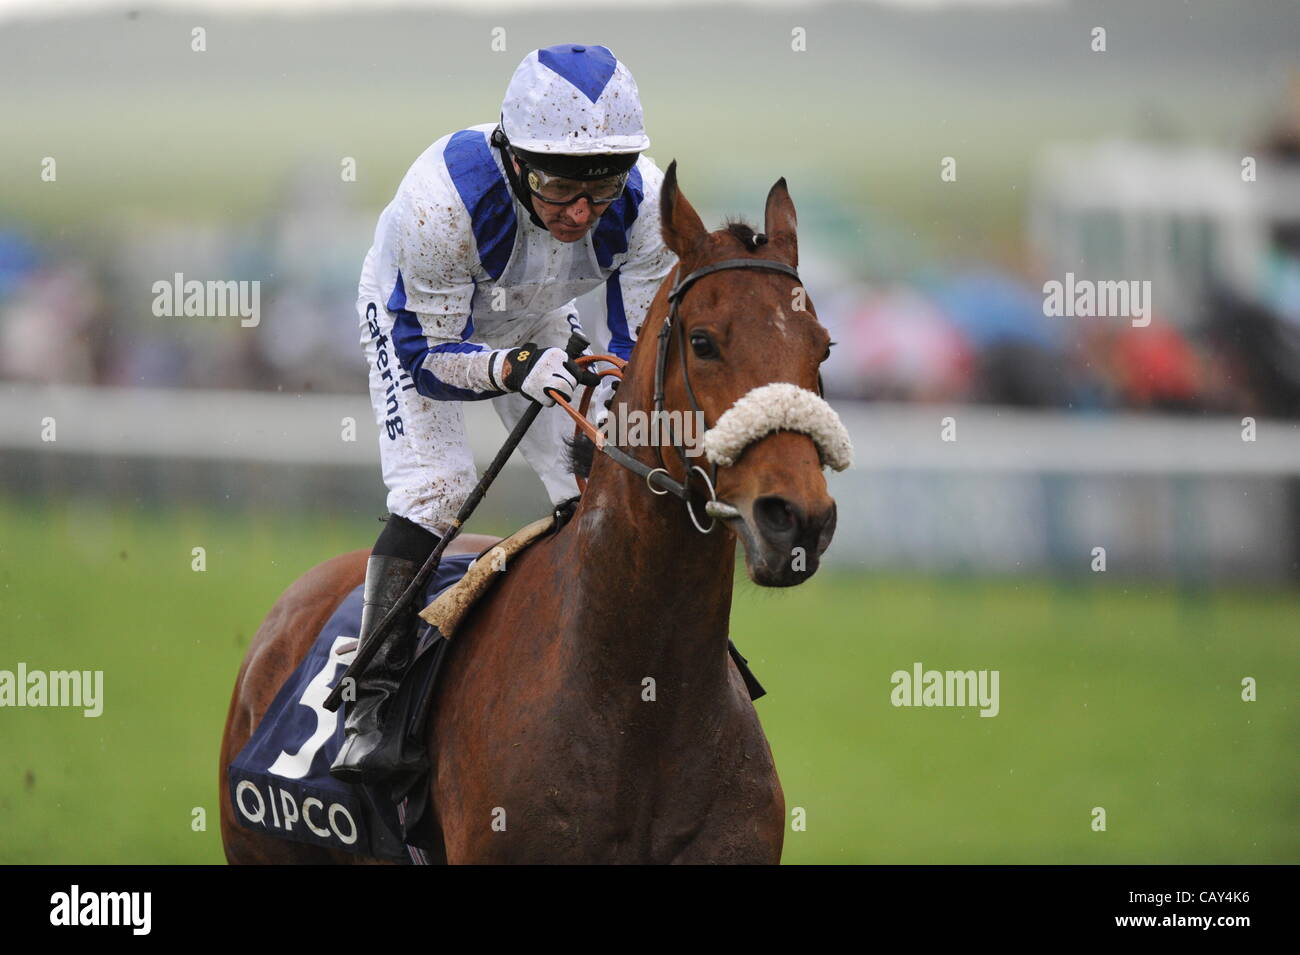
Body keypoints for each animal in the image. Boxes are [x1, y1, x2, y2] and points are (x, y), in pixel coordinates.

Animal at [220, 164, 842, 867]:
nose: (797, 518)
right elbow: (430, 350)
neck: (643, 701)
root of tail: (294, 601)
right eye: (703, 342)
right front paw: (532, 371)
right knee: (431, 490)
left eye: (822, 348)